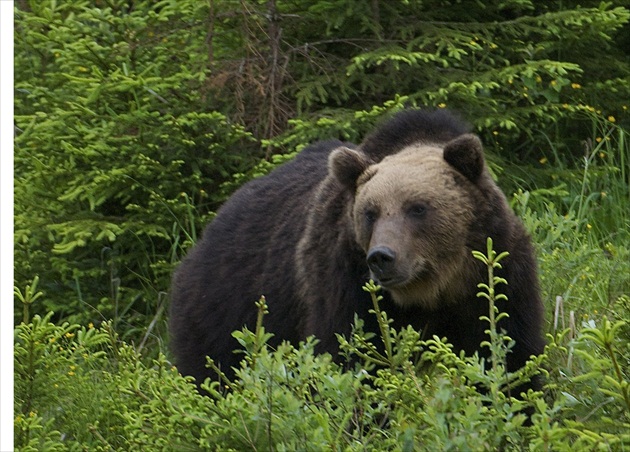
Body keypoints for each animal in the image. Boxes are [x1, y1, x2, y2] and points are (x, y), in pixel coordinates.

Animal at [170, 109, 544, 392]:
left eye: (417, 208)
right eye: (370, 212)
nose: (381, 257)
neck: (434, 291)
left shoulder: (497, 276)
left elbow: (509, 353)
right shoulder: (346, 285)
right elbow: (353, 361)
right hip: (227, 308)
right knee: (213, 369)